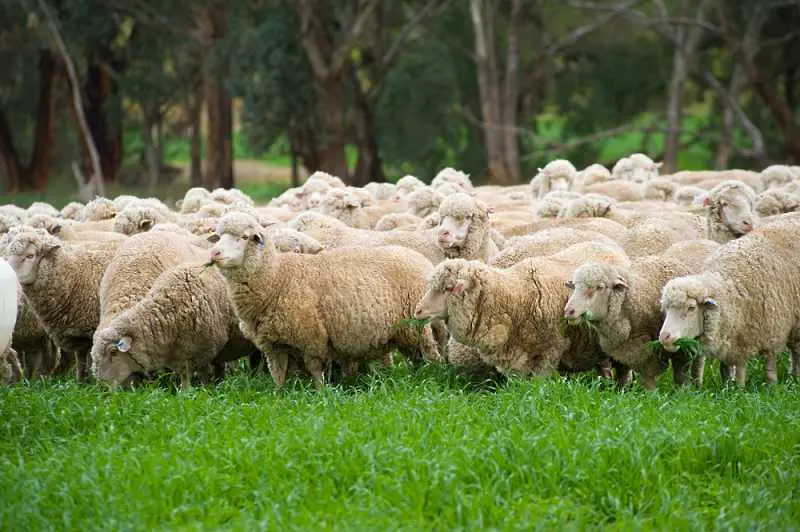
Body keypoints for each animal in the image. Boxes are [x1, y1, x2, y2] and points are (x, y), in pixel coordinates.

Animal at [92, 264, 258, 388]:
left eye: (113, 352)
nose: (101, 385)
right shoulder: (183, 355)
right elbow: (186, 377)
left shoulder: (203, 351)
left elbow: (202, 376)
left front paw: (203, 392)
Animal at [209, 210, 440, 388]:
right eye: (219, 236)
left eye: (244, 237)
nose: (215, 253)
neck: (277, 277)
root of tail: (419, 259)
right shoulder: (272, 345)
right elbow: (278, 373)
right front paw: (279, 394)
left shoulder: (312, 337)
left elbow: (315, 369)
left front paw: (321, 394)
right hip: (404, 332)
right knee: (416, 357)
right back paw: (418, 377)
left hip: (418, 325)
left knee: (430, 354)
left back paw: (433, 377)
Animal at [564, 258, 700, 390]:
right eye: (574, 286)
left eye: (600, 287)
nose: (569, 311)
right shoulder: (626, 350)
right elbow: (625, 376)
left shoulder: (662, 349)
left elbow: (670, 376)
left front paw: (668, 394)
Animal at [660, 216, 800, 386]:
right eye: (666, 309)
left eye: (691, 308)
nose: (664, 337)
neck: (730, 285)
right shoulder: (732, 336)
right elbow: (729, 367)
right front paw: (730, 385)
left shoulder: (772, 330)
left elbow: (768, 365)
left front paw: (769, 386)